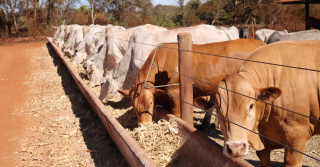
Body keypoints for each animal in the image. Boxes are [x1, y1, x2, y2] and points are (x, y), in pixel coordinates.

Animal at [117, 38, 264, 125]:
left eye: (151, 103)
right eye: (133, 105)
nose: (145, 125)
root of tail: (257, 42)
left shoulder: (175, 92)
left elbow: (177, 115)